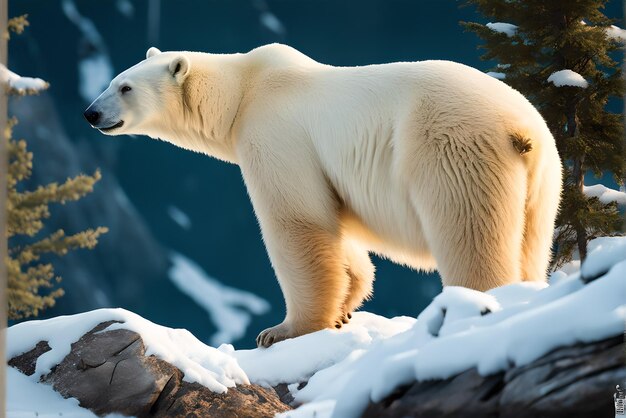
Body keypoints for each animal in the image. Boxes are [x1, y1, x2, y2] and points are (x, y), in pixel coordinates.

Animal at [81, 44, 560, 348]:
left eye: (124, 87)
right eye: (113, 81)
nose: (90, 112)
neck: (243, 91)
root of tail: (520, 129)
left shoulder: (276, 134)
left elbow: (297, 222)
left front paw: (282, 330)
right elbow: (338, 225)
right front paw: (346, 309)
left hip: (451, 149)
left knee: (468, 230)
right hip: (542, 182)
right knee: (531, 241)